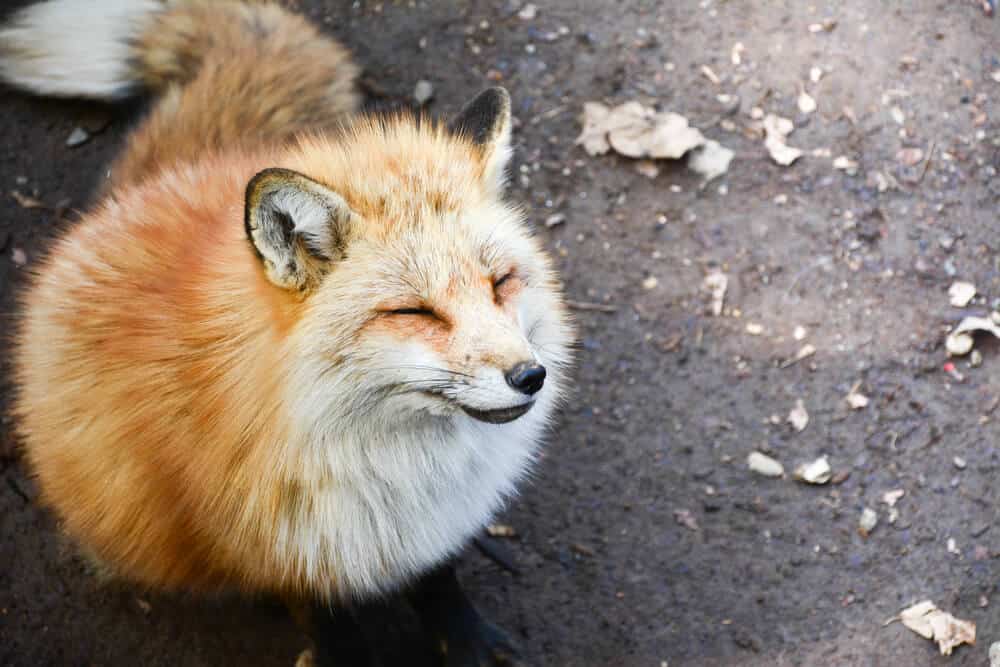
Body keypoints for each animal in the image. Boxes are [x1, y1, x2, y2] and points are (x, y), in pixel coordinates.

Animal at [1, 0, 573, 664]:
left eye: (501, 281)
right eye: (414, 312)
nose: (530, 376)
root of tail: (160, 179)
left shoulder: (429, 523)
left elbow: (440, 576)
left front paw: (466, 640)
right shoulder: (285, 556)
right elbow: (333, 627)